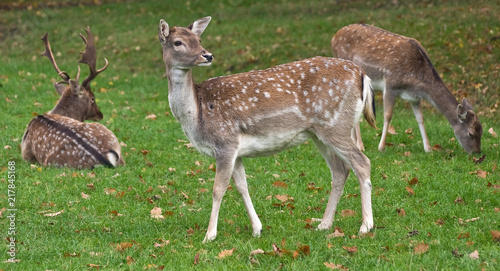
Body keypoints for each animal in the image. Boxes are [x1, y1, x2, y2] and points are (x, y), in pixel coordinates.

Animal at [158, 16, 376, 242]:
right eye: (178, 42)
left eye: (198, 39)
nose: (207, 55)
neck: (197, 114)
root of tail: (363, 75)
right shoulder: (235, 151)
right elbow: (242, 186)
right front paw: (257, 229)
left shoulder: (225, 142)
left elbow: (218, 189)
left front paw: (209, 235)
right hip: (319, 133)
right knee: (340, 170)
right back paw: (324, 224)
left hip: (335, 126)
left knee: (362, 163)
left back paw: (365, 225)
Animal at [330, 24, 482, 154]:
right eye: (471, 133)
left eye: (482, 130)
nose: (477, 153)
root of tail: (333, 38)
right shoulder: (390, 84)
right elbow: (388, 115)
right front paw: (381, 147)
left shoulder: (414, 97)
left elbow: (420, 118)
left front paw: (428, 148)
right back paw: (360, 145)